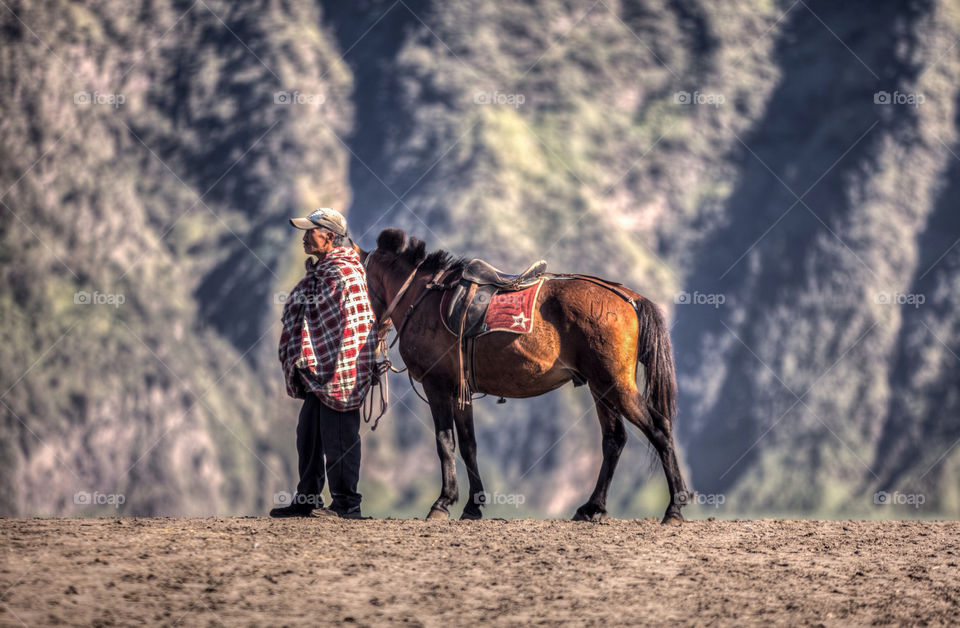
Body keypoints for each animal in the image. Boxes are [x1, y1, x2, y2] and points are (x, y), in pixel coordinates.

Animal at [358, 228, 688, 524]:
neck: (425, 296)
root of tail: (628, 297)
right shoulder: (460, 391)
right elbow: (468, 445)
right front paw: (473, 505)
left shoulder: (437, 386)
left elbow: (445, 442)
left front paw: (443, 501)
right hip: (601, 388)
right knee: (614, 440)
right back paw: (592, 507)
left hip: (615, 385)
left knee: (659, 429)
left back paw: (674, 507)